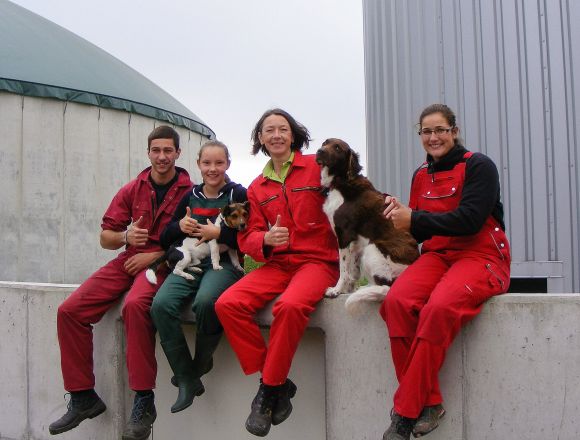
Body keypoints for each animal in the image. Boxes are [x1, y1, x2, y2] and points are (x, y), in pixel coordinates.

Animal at [314, 139, 420, 312]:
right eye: (325, 143)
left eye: (337, 148)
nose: (319, 151)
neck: (342, 180)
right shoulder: (356, 242)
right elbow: (352, 270)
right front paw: (348, 289)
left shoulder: (344, 235)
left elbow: (343, 268)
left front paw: (336, 290)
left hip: (372, 248)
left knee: (385, 287)